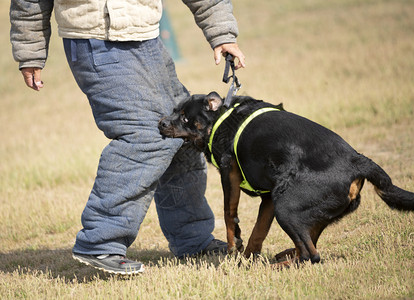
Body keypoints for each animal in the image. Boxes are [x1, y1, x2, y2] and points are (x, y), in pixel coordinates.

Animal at [159, 92, 414, 266]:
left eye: (185, 118)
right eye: (174, 110)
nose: (161, 123)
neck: (221, 118)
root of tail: (357, 161)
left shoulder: (228, 171)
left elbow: (229, 213)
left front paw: (233, 248)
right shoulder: (269, 197)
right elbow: (258, 231)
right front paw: (247, 259)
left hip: (287, 206)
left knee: (312, 255)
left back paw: (278, 265)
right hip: (299, 205)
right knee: (309, 243)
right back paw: (284, 255)